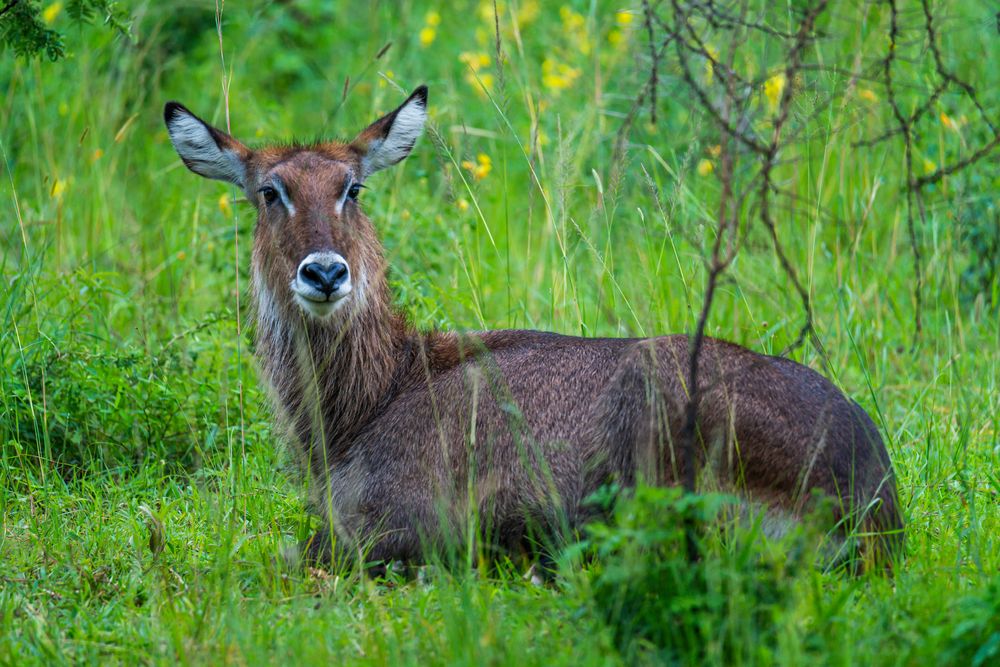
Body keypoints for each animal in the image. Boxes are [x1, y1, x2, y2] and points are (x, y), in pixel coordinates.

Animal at [166, 86, 908, 572]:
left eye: (353, 187)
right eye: (270, 191)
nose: (325, 272)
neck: (367, 403)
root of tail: (876, 506)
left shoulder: (397, 523)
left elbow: (290, 553)